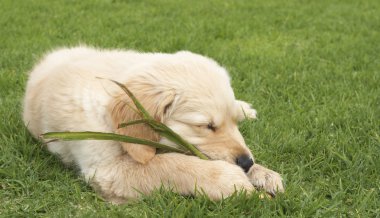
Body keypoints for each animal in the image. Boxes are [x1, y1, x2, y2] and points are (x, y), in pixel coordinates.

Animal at [22, 46, 284, 204]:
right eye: (207, 126)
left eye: (235, 123)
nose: (247, 162)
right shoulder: (106, 168)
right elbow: (170, 165)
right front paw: (232, 181)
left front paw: (263, 173)